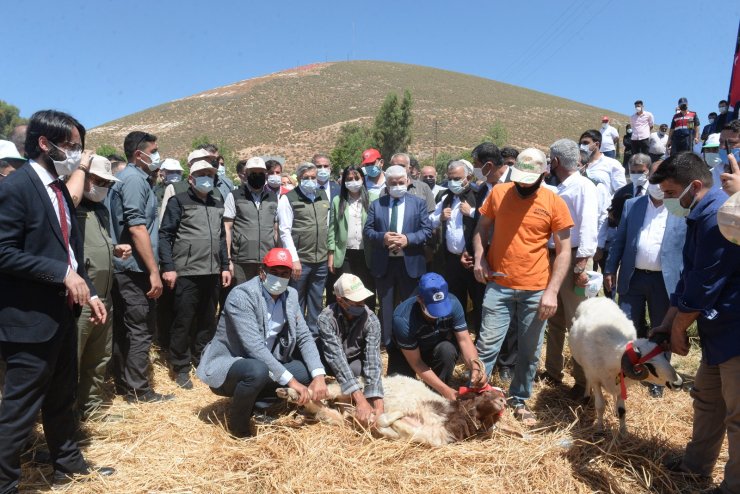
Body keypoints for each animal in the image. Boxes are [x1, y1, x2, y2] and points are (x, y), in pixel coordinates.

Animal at [568, 298, 684, 432]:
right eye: (650, 366)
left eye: (664, 356)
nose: (678, 383)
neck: (610, 354)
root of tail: (597, 298)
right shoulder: (595, 379)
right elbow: (600, 406)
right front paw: (600, 428)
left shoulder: (621, 383)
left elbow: (622, 410)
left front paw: (623, 432)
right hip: (587, 368)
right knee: (587, 379)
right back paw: (587, 396)